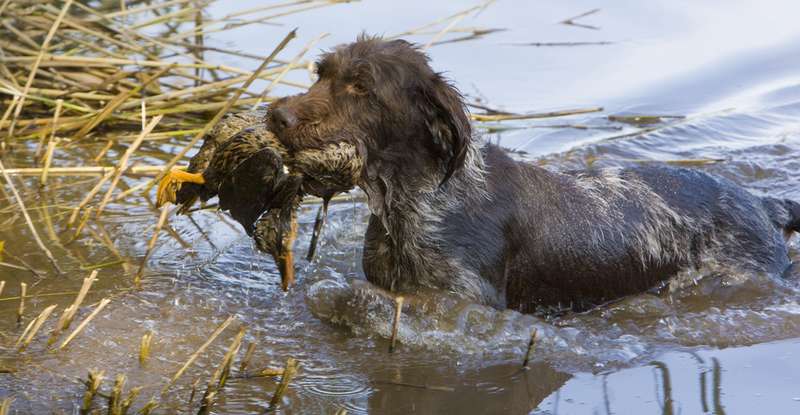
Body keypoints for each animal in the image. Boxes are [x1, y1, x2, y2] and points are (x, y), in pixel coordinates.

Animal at [268, 35, 800, 314]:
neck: (416, 203)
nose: (276, 115)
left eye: (361, 87)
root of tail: (762, 204)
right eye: (321, 72)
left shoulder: (465, 297)